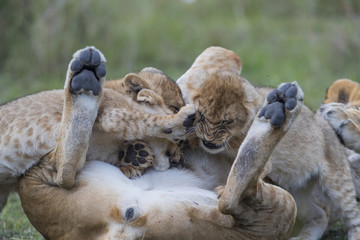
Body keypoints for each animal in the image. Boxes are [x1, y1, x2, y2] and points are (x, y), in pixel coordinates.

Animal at [0, 46, 194, 212]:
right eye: (175, 107)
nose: (180, 160)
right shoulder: (111, 114)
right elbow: (147, 120)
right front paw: (182, 120)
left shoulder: (51, 160)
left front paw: (134, 157)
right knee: (64, 170)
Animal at [176, 46, 360, 239]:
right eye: (203, 115)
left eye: (228, 121)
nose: (209, 141)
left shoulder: (265, 161)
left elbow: (245, 170)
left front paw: (224, 189)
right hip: (297, 191)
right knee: (320, 213)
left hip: (337, 178)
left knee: (352, 214)